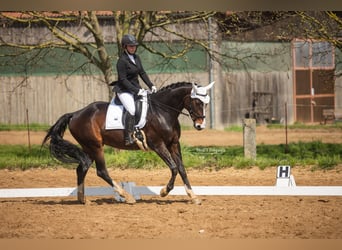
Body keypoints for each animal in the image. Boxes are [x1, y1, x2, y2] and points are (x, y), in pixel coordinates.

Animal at [42, 81, 214, 204]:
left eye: (205, 103)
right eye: (197, 102)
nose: (200, 126)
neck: (163, 112)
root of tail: (76, 113)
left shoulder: (173, 144)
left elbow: (182, 169)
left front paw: (193, 196)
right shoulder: (158, 145)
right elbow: (174, 168)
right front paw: (164, 191)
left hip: (89, 148)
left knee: (81, 168)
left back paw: (82, 200)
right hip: (95, 147)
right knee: (101, 171)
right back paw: (126, 196)